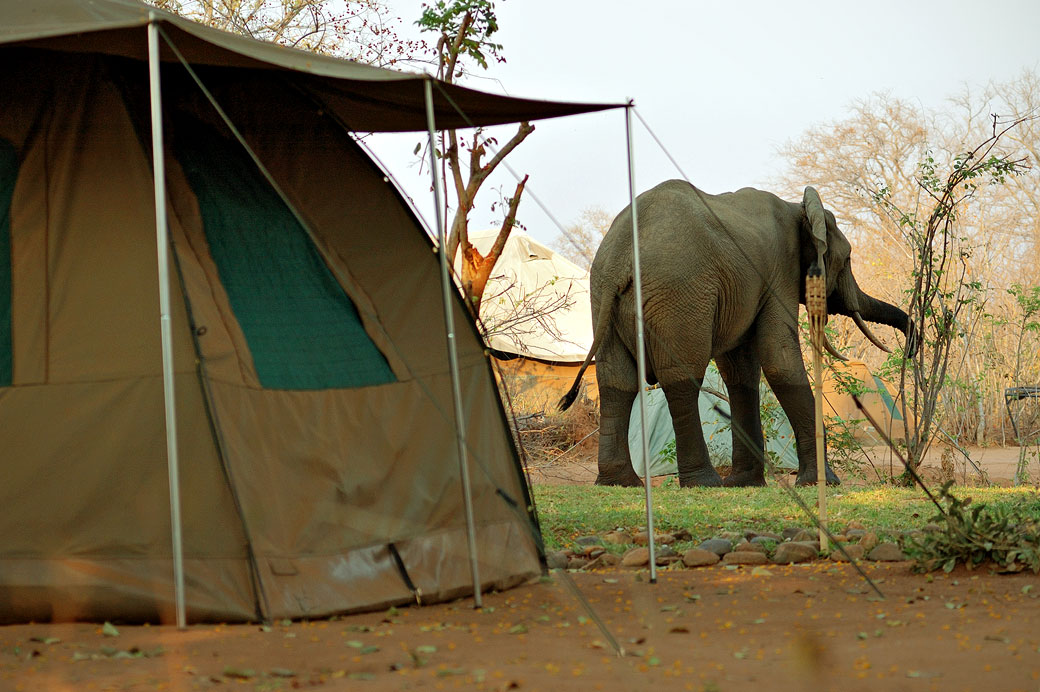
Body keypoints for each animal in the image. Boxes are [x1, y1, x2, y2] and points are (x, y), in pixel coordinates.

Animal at [557, 181, 915, 489]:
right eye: (848, 259)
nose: (910, 350)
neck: (798, 209)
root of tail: (618, 259)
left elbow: (740, 370)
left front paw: (745, 483)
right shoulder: (779, 273)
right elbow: (779, 360)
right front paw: (820, 482)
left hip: (602, 298)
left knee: (616, 382)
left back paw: (620, 482)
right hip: (680, 295)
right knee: (682, 377)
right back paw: (704, 483)